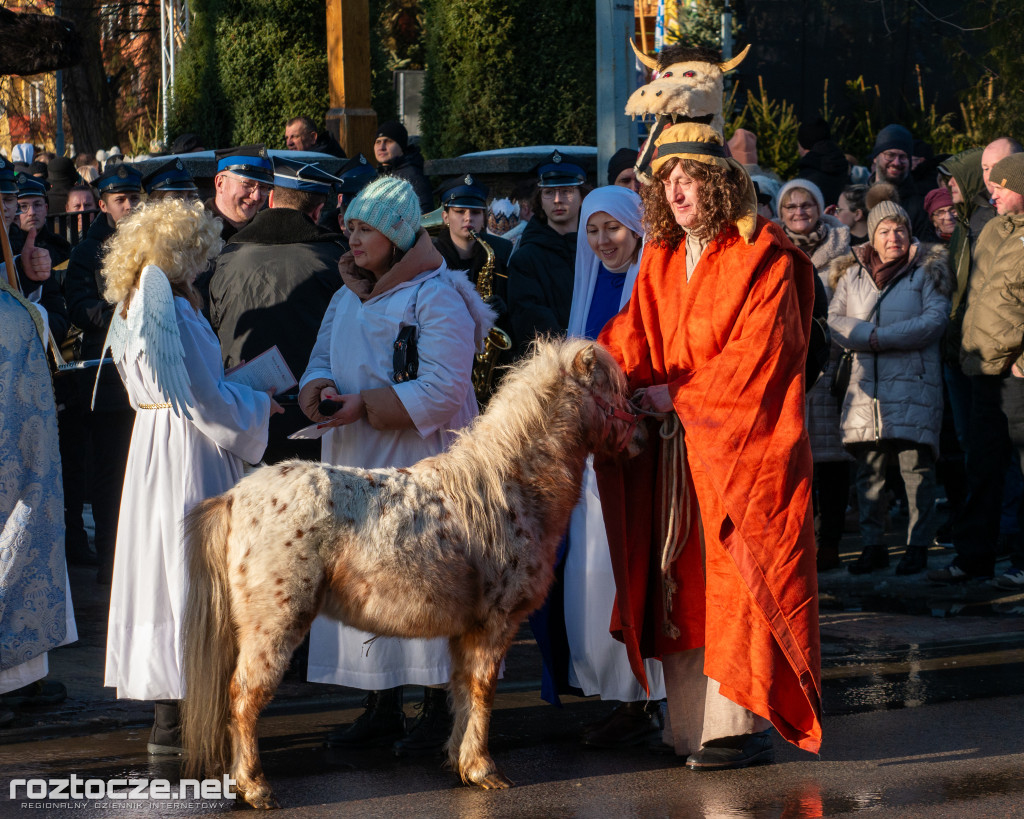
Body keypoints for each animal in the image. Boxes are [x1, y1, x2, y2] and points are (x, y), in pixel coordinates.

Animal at [180, 337, 643, 806]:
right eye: (614, 392)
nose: (644, 432)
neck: (507, 486)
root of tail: (236, 496)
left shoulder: (467, 631)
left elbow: (462, 690)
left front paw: (461, 760)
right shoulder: (494, 626)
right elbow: (482, 689)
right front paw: (482, 768)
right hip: (274, 625)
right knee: (244, 696)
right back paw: (254, 786)